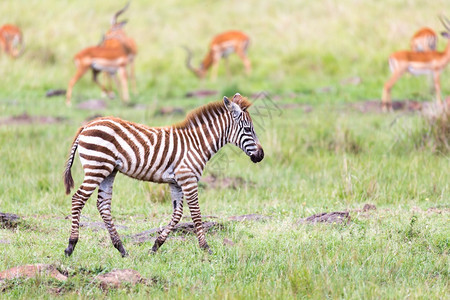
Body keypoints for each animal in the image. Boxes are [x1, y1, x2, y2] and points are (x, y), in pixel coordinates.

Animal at [63, 92, 264, 256]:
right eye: (248, 129)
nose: (261, 156)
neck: (197, 144)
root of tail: (87, 125)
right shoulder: (188, 179)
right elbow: (196, 214)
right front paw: (206, 248)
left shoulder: (176, 182)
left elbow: (177, 214)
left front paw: (155, 246)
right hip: (96, 167)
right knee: (78, 199)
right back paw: (71, 246)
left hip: (109, 171)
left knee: (103, 205)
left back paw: (121, 249)